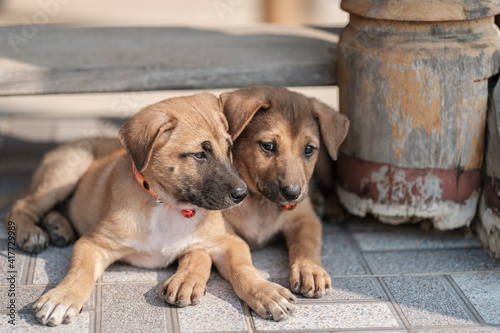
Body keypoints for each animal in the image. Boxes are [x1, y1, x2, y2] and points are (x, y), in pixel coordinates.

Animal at [5, 92, 294, 324]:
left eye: (229, 148)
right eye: (199, 154)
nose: (242, 194)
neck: (168, 204)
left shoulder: (227, 241)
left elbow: (243, 268)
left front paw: (266, 292)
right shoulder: (93, 242)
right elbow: (80, 271)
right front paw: (62, 298)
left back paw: (59, 227)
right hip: (70, 167)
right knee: (22, 205)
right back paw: (30, 232)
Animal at [221, 85, 350, 296]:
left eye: (309, 149)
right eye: (268, 146)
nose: (292, 193)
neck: (261, 202)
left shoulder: (305, 219)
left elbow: (305, 244)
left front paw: (310, 270)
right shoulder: (225, 230)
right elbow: (239, 258)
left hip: (325, 165)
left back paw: (332, 208)